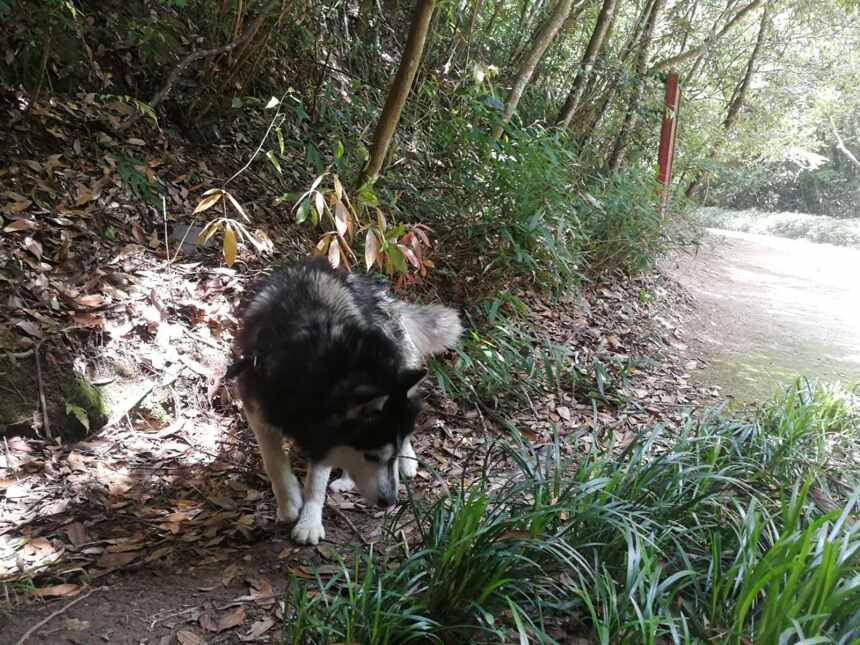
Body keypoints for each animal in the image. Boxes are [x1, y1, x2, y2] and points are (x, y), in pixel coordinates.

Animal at [225, 256, 460, 544]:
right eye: (371, 456)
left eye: (385, 457)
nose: (391, 502)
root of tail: (377, 289)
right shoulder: (258, 408)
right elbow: (274, 461)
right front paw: (288, 502)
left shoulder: (323, 431)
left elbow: (316, 481)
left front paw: (309, 521)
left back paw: (406, 461)